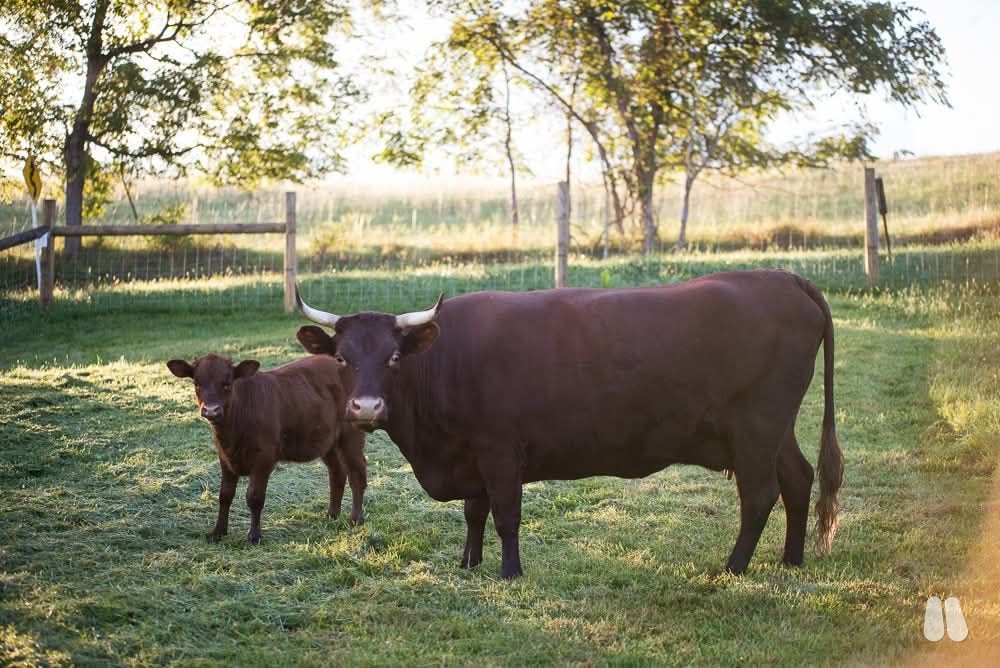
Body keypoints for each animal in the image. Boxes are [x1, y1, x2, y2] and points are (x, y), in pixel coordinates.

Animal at [167, 353, 367, 544]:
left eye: (227, 384)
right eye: (197, 383)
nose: (210, 410)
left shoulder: (264, 458)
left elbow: (254, 497)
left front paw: (254, 536)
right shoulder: (225, 458)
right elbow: (224, 495)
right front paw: (218, 532)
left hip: (351, 435)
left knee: (356, 474)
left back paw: (355, 519)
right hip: (328, 442)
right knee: (337, 473)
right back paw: (332, 515)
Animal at [294, 270, 843, 579]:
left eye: (392, 357)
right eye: (341, 358)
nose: (366, 408)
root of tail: (783, 277)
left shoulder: (499, 451)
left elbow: (504, 515)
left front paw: (509, 572)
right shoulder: (472, 456)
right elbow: (474, 513)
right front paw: (468, 563)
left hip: (755, 430)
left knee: (760, 496)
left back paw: (732, 569)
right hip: (774, 430)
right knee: (798, 479)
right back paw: (792, 561)